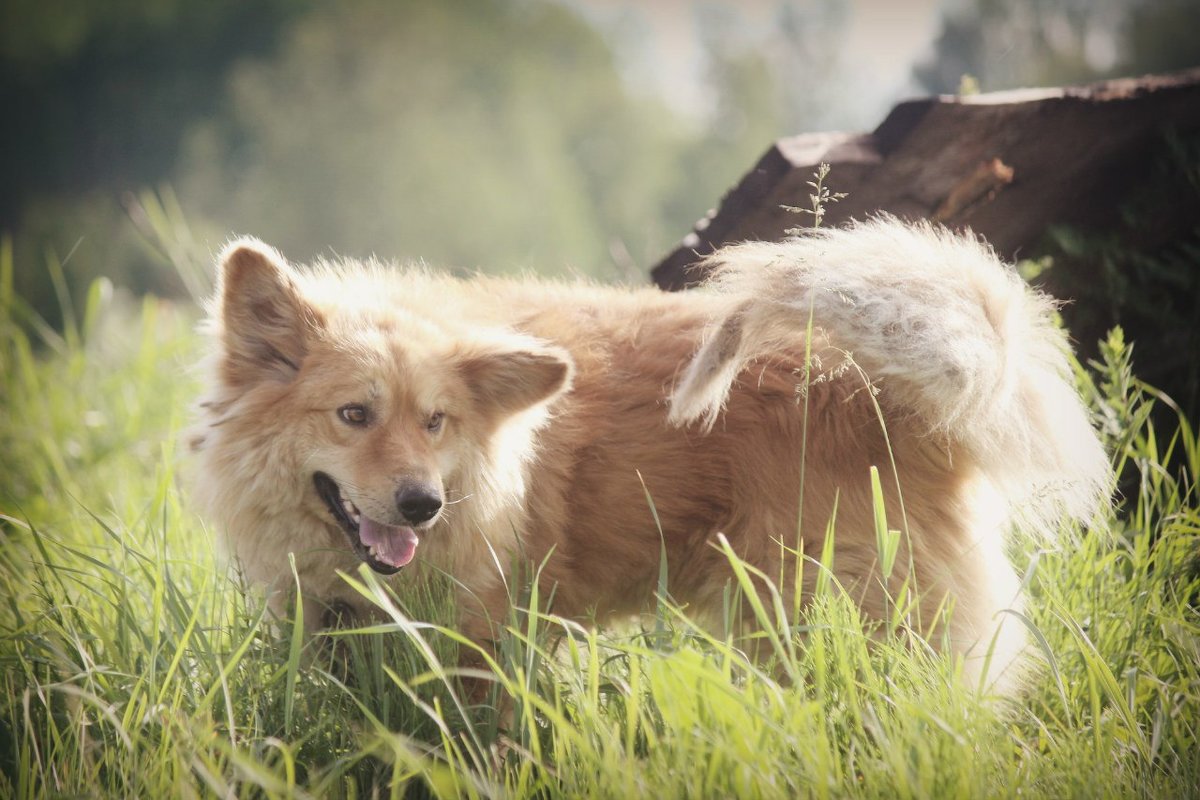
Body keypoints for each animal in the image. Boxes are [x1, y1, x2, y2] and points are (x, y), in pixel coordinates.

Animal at [192, 219, 1108, 695]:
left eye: (436, 423)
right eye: (354, 415)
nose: (422, 504)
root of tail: (880, 390)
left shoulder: (481, 643)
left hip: (837, 619)